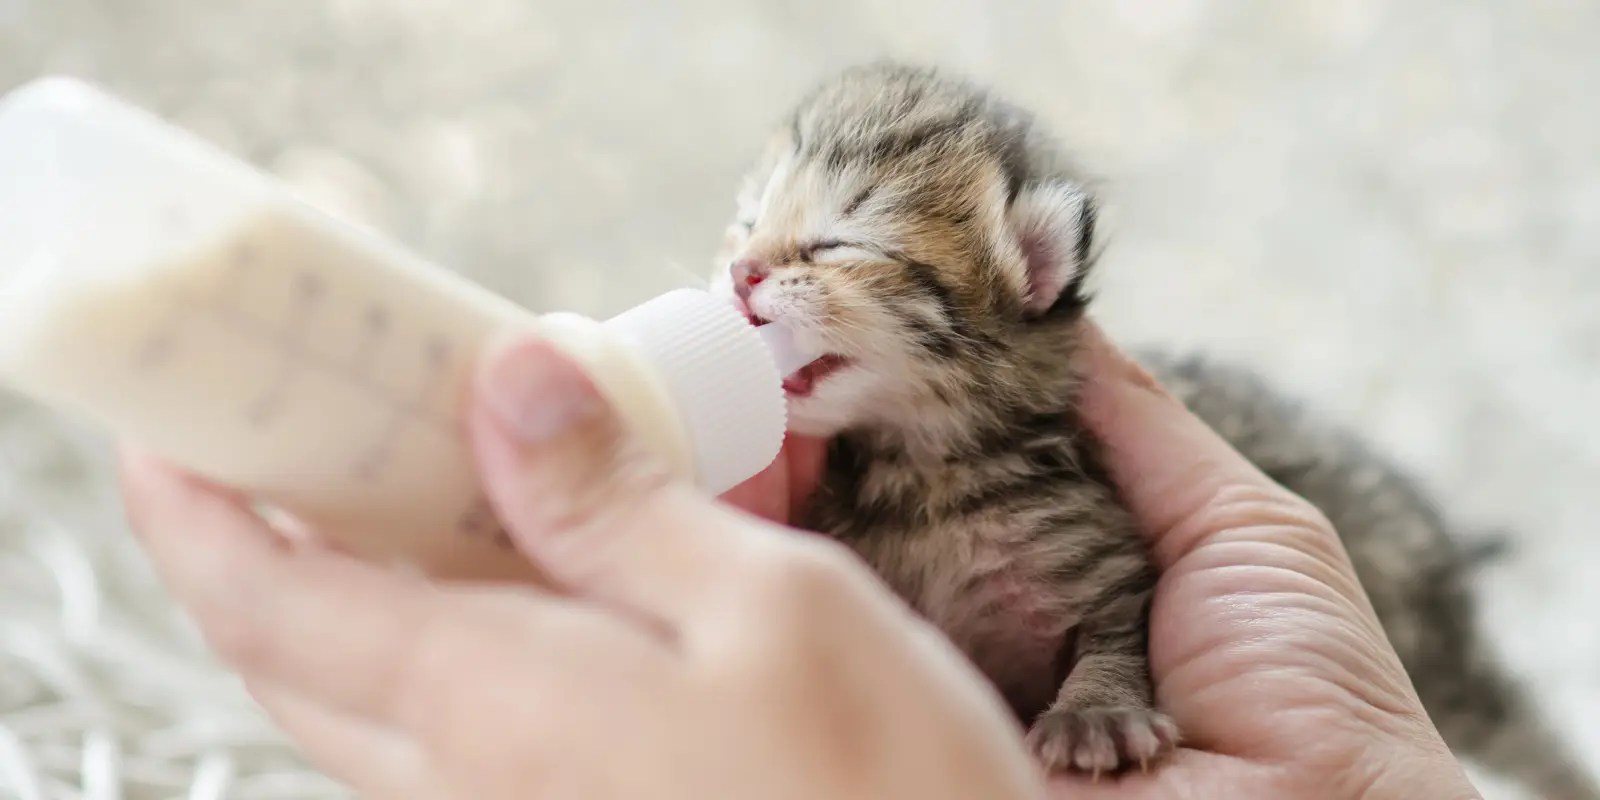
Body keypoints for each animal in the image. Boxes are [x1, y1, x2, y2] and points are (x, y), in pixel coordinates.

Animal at [710, 59, 1600, 796]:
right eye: (747, 222)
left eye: (838, 241)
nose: (740, 272)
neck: (925, 473)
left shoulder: (1110, 561)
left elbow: (1117, 639)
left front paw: (1096, 714)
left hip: (1436, 641)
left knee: (1520, 727)